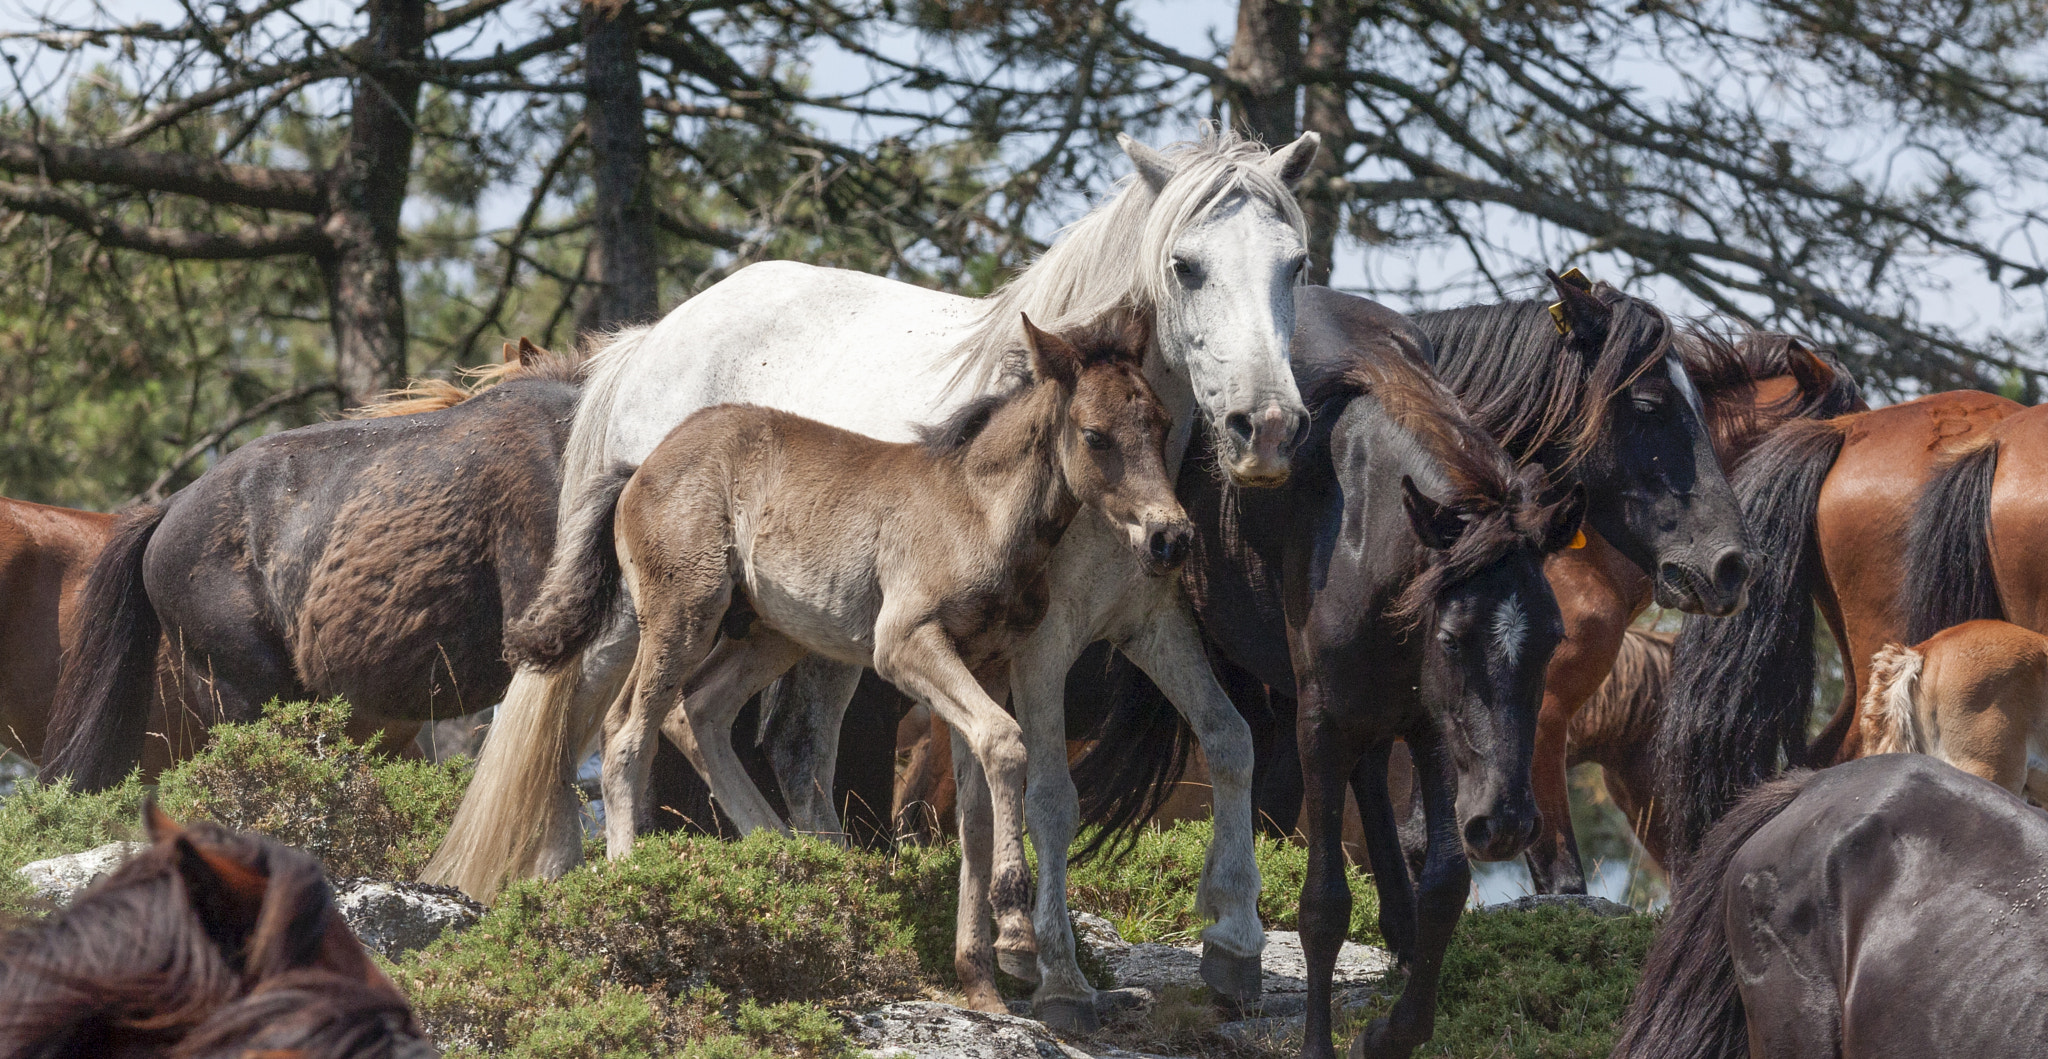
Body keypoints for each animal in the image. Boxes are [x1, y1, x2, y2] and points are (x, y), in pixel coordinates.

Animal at [430, 128, 1318, 1028]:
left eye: (1297, 264)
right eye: (1186, 266)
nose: (1269, 428)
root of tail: (646, 342)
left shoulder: (1147, 623)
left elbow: (1229, 740)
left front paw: (1234, 946)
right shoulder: (1040, 648)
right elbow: (1048, 793)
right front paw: (1059, 976)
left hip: (788, 631)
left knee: (739, 731)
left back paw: (810, 874)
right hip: (651, 619)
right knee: (573, 718)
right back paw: (570, 877)